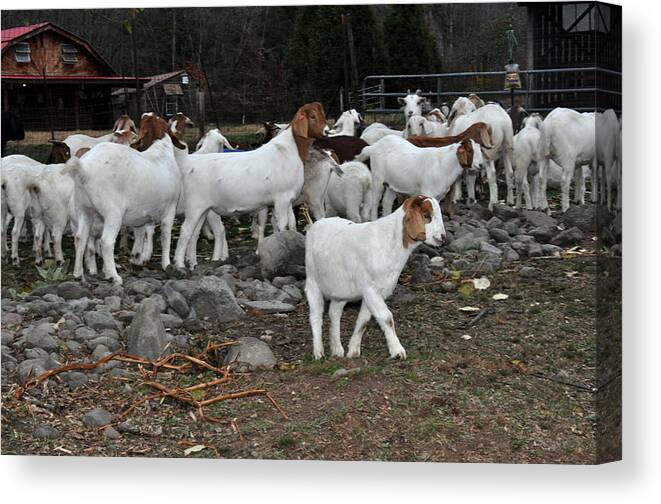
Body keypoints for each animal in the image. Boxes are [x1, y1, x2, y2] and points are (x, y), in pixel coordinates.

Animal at [306, 195, 446, 360]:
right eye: (426, 216)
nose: (443, 237)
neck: (391, 243)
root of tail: (317, 223)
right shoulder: (370, 288)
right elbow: (386, 317)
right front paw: (397, 351)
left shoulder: (377, 291)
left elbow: (364, 321)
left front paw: (353, 351)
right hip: (312, 280)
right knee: (315, 315)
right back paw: (318, 352)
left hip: (340, 289)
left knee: (334, 313)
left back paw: (337, 349)